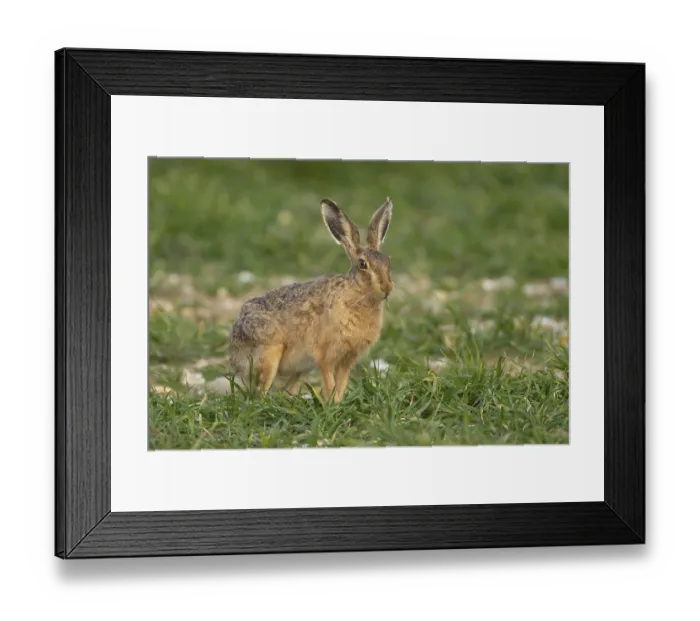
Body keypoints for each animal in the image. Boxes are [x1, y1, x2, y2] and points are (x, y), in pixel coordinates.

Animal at [229, 197, 394, 403]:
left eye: (388, 261)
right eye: (363, 264)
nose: (387, 288)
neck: (357, 294)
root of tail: (233, 353)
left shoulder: (347, 359)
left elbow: (341, 384)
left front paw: (338, 403)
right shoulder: (324, 356)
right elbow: (330, 383)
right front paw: (332, 404)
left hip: (301, 368)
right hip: (269, 354)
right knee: (261, 391)